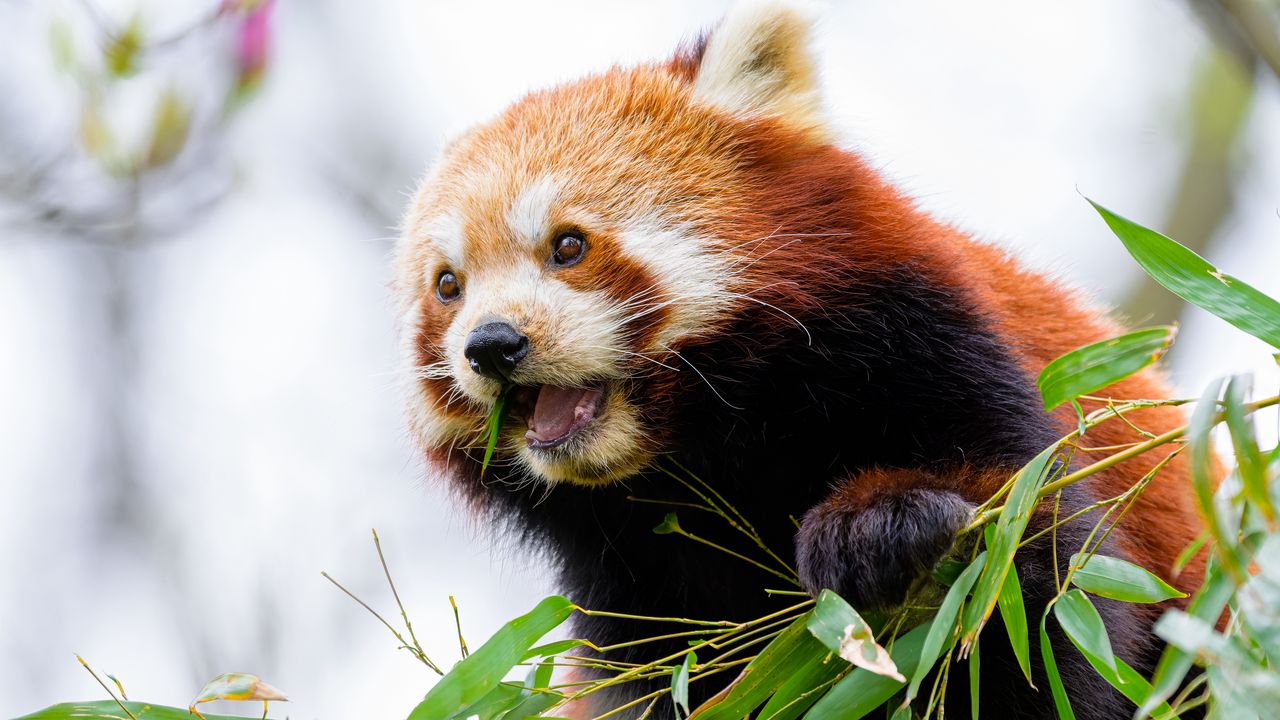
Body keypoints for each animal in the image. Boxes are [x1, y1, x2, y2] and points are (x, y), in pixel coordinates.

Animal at [394, 2, 1203, 712]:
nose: (491, 344)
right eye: (448, 286)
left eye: (568, 245)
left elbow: (1036, 609)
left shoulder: (941, 357)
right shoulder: (634, 589)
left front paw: (883, 526)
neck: (707, 455)